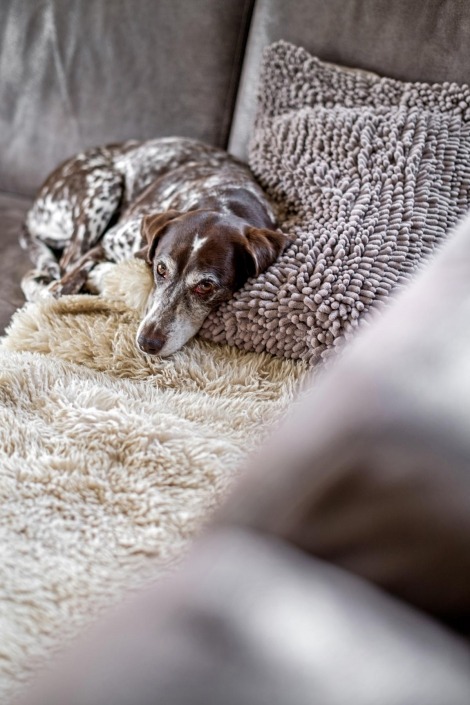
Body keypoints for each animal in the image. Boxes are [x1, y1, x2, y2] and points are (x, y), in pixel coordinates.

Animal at [21, 137, 290, 354]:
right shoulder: (111, 240)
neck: (223, 201)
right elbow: (67, 280)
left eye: (205, 286)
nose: (147, 343)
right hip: (105, 183)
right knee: (65, 263)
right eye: (160, 269)